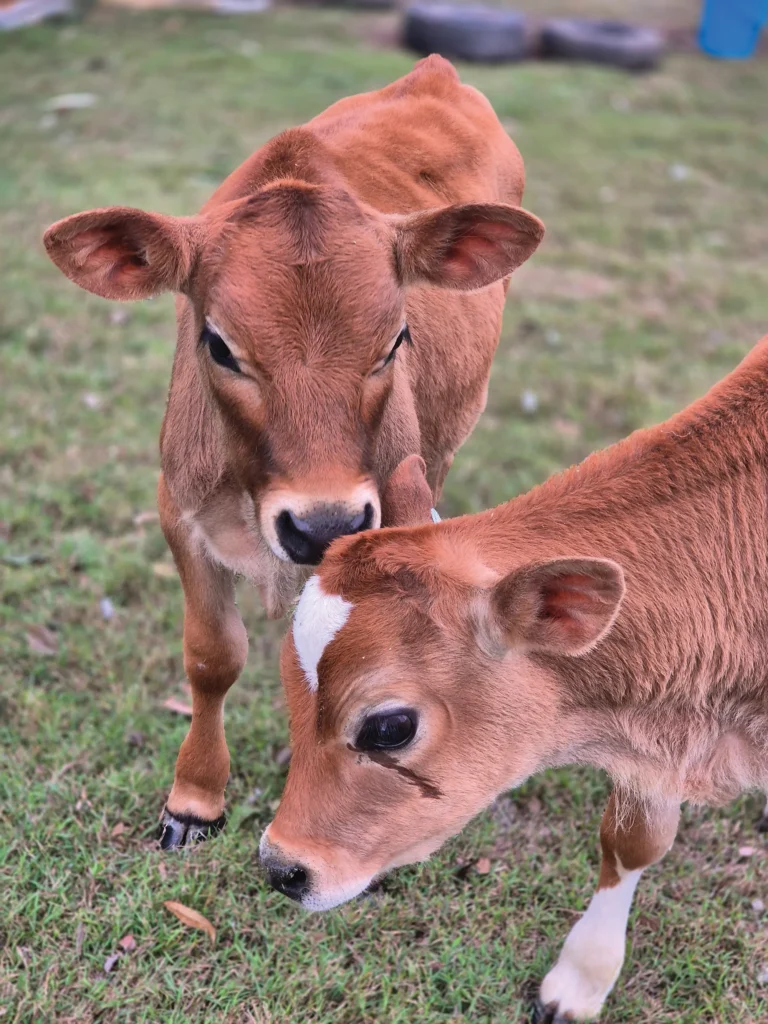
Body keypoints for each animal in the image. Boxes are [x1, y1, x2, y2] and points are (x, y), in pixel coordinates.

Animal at [42, 56, 544, 849]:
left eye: (396, 340)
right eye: (218, 344)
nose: (322, 525)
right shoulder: (178, 508)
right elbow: (213, 655)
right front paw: (195, 798)